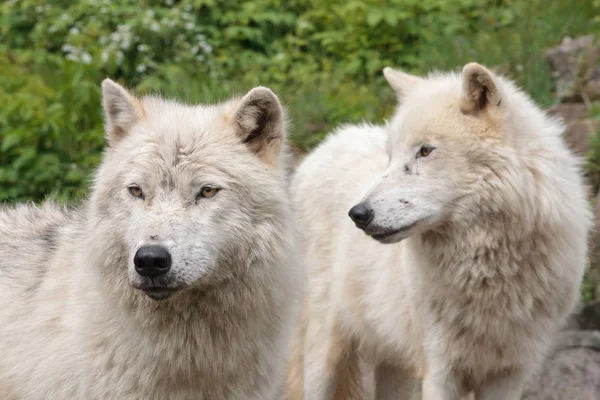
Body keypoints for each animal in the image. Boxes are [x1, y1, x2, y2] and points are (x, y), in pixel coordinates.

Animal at [286, 61, 592, 398]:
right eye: (390, 157)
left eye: (425, 151)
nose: (358, 214)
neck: (488, 271)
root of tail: (324, 145)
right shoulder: (440, 371)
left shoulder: (509, 374)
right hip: (324, 357)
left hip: (396, 366)